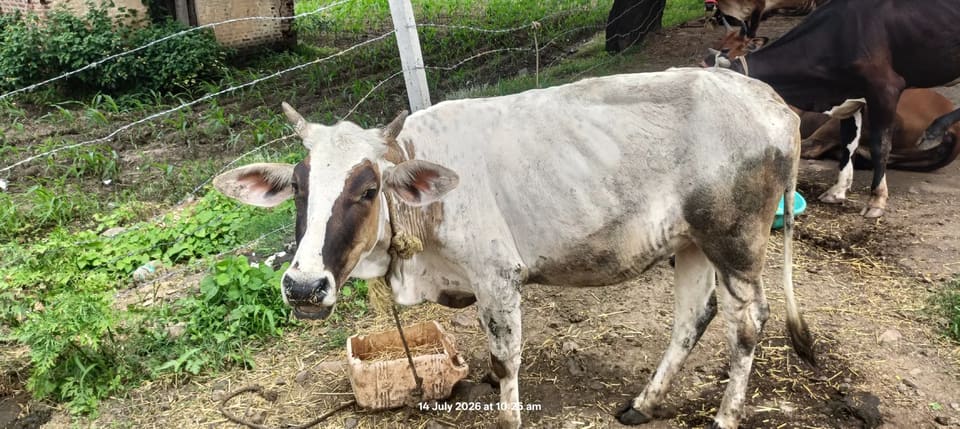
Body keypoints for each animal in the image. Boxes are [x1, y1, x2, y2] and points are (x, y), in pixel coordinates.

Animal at [212, 68, 814, 429]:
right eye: (299, 187)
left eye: (367, 190)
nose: (303, 286)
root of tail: (775, 103)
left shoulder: (498, 276)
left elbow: (505, 362)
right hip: (690, 243)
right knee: (693, 316)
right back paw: (643, 404)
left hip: (734, 241)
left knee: (748, 322)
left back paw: (726, 416)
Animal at [705, 0, 960, 218]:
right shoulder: (850, 96)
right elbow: (848, 142)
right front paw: (838, 190)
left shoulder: (885, 88)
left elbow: (881, 146)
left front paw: (876, 200)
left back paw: (934, 131)